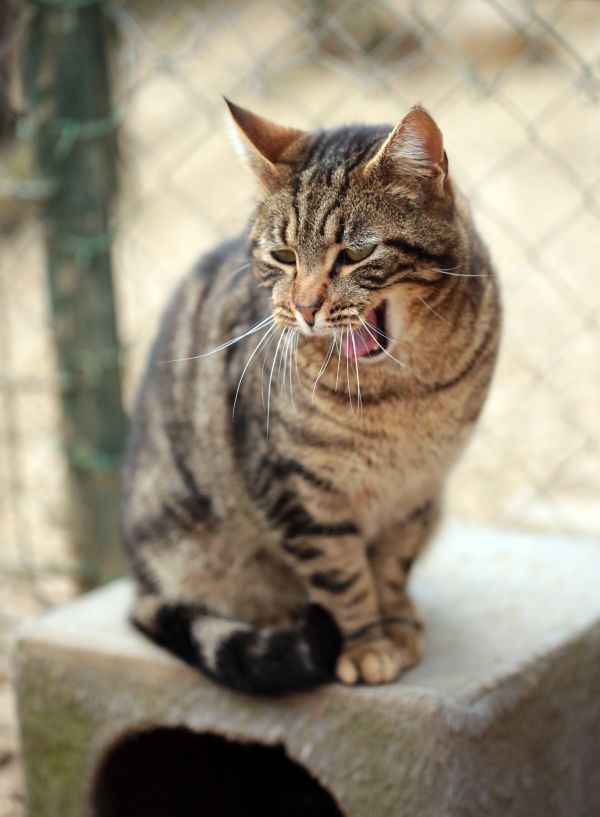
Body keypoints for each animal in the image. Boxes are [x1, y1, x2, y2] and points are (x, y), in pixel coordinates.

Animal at [122, 99, 502, 692]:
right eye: (282, 256)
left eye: (357, 253)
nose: (304, 309)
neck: (402, 394)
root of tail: (138, 581)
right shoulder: (296, 492)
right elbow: (342, 577)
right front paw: (367, 645)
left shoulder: (417, 489)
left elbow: (392, 564)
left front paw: (396, 624)